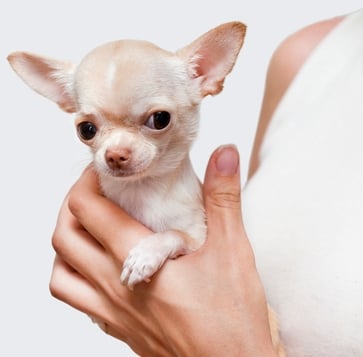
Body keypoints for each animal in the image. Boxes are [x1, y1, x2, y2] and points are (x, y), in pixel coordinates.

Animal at [7, 22, 284, 354]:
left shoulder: (198, 239)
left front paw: (144, 256)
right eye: (86, 129)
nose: (115, 155)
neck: (140, 191)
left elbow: (173, 234)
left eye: (160, 119)